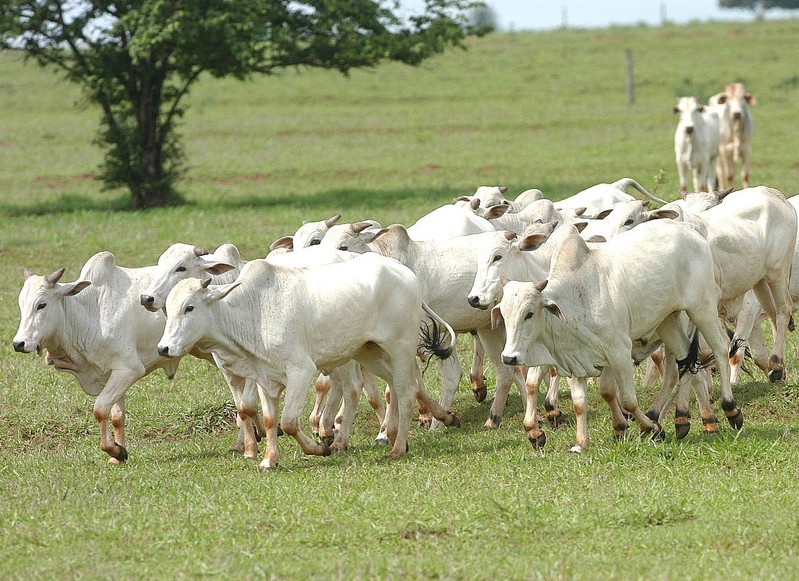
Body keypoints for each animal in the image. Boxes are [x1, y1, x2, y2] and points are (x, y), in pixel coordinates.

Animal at [156, 251, 460, 468]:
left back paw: (397, 447)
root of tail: (407, 274)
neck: (253, 311)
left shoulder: (301, 371)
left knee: (405, 390)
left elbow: (289, 421)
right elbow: (270, 420)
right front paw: (269, 459)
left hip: (399, 348)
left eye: (189, 307)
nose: (163, 348)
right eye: (168, 310)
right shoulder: (264, 378)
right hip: (369, 351)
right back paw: (439, 419)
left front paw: (319, 448)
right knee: (402, 386)